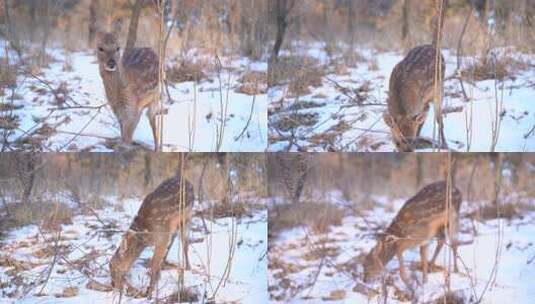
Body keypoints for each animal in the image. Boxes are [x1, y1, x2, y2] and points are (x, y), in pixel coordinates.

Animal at [384, 0, 450, 152]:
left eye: (413, 141)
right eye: (397, 142)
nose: (409, 151)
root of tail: (434, 46)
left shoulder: (419, 104)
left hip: (440, 90)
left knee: (439, 119)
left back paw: (444, 144)